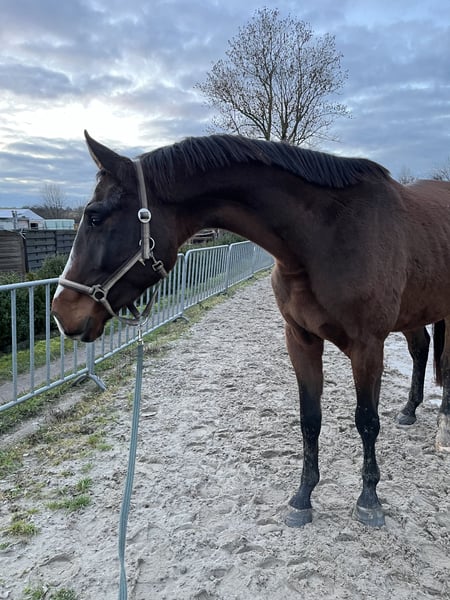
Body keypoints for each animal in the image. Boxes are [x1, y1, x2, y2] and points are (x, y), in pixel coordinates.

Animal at [52, 131, 450, 528]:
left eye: (95, 216)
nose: (60, 312)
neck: (327, 235)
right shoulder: (300, 340)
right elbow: (310, 419)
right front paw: (303, 498)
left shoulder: (368, 346)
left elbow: (366, 420)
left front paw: (369, 500)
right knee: (421, 349)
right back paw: (410, 409)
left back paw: (443, 427)